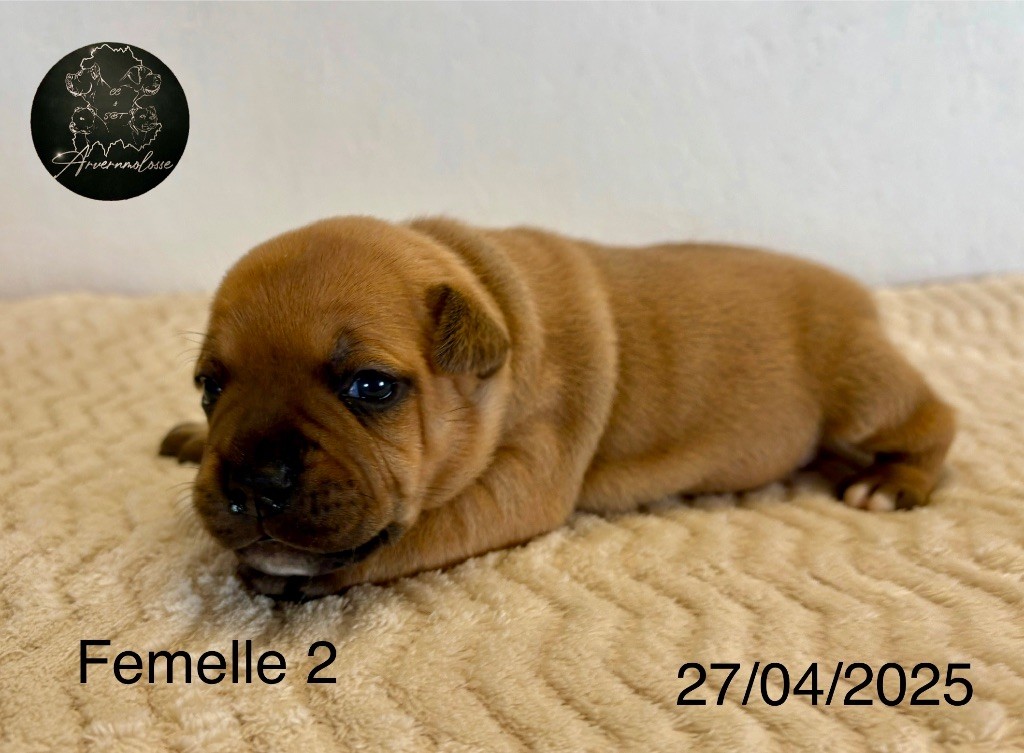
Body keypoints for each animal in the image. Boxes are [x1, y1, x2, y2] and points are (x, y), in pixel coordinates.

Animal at [160, 217, 955, 598]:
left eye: (371, 387)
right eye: (210, 386)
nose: (253, 479)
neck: (486, 285)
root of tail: (856, 293)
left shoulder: (521, 483)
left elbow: (422, 532)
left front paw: (291, 574)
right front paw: (193, 438)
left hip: (861, 392)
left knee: (935, 419)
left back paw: (892, 481)